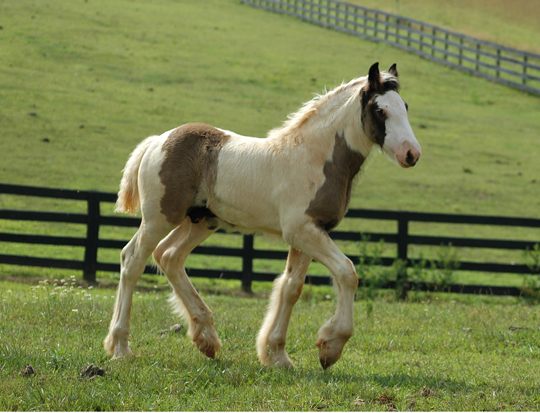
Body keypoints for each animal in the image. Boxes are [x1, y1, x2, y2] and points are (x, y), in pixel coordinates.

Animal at [102, 62, 422, 370]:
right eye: (380, 110)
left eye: (405, 106)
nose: (412, 154)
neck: (314, 158)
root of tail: (158, 140)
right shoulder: (302, 231)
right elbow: (347, 272)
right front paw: (330, 347)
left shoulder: (310, 233)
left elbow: (291, 287)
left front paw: (277, 355)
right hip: (159, 218)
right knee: (132, 260)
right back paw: (121, 348)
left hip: (201, 221)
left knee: (168, 256)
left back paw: (206, 340)